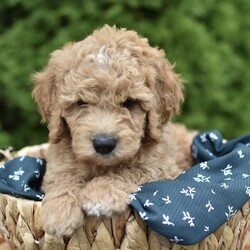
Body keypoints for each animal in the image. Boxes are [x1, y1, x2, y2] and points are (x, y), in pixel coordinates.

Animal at [32, 24, 195, 236]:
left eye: (129, 102)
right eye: (81, 102)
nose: (103, 144)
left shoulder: (163, 169)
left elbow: (130, 171)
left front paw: (101, 193)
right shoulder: (59, 162)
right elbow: (62, 177)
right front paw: (59, 211)